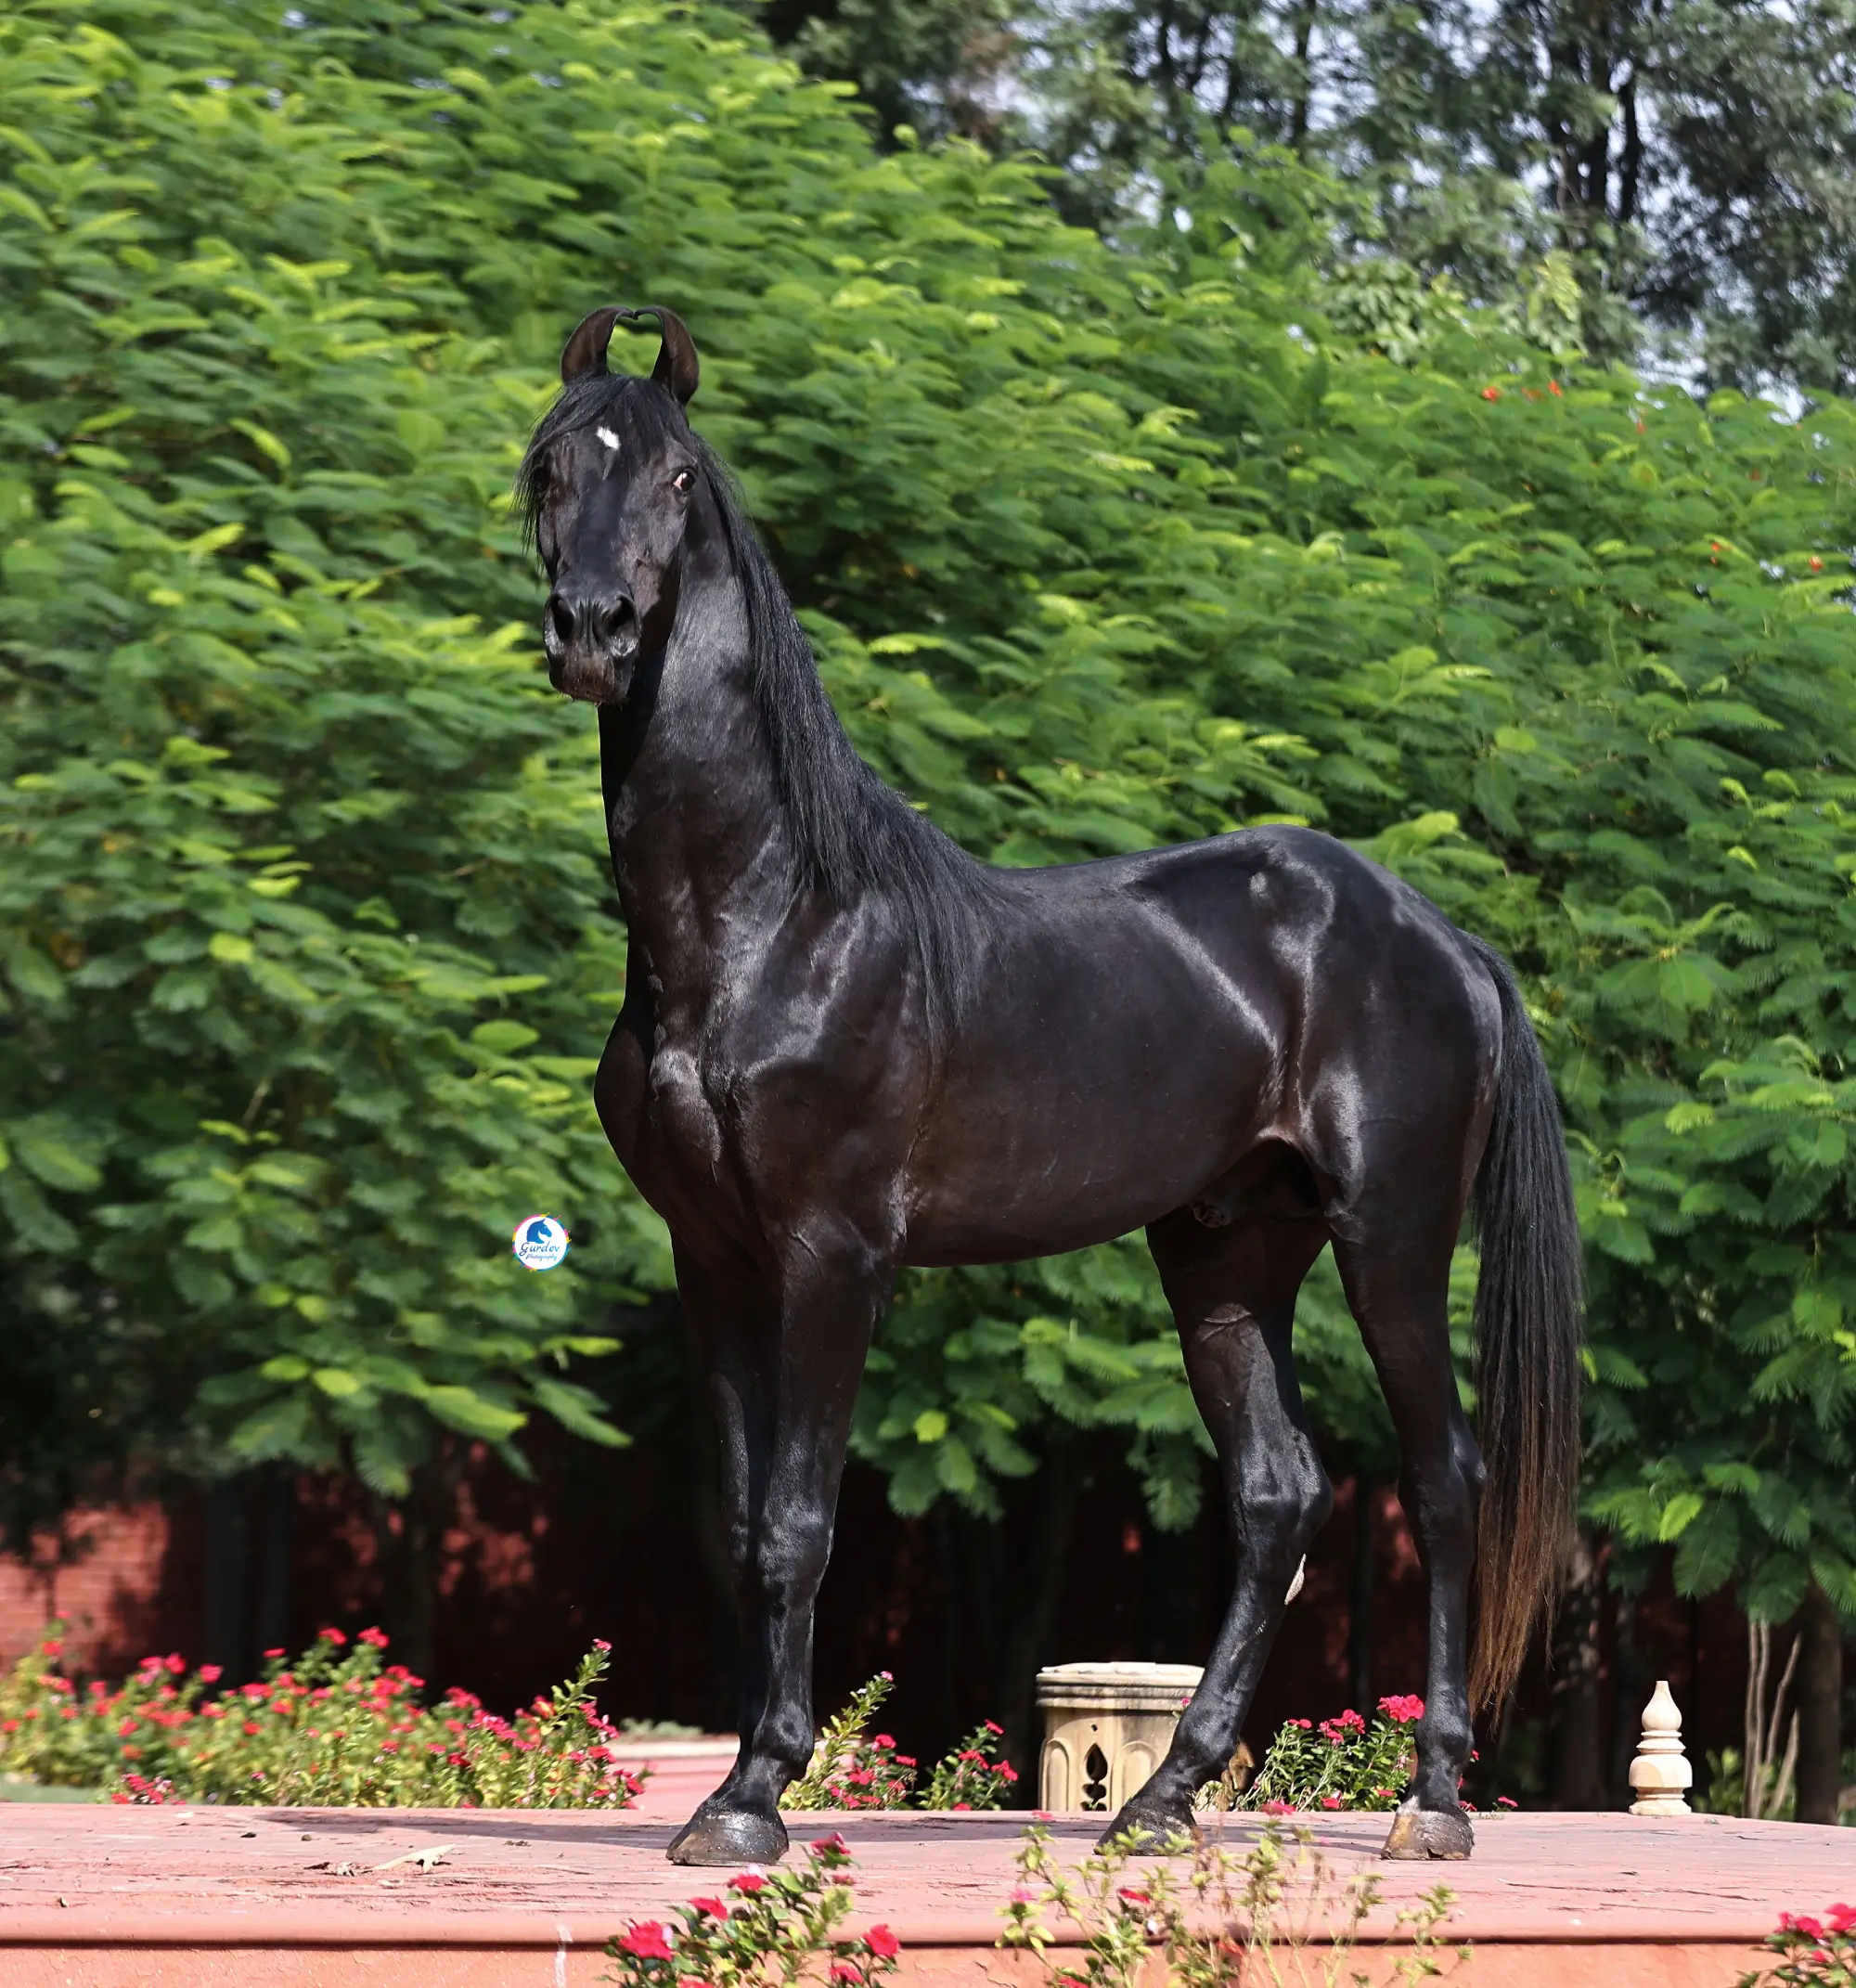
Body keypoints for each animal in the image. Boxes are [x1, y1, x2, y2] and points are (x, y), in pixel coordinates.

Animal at [517, 305, 1583, 1867]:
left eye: (673, 477)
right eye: (545, 469)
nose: (593, 630)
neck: (766, 920)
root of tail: (1443, 939)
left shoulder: (833, 1254)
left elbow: (798, 1521)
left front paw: (754, 1793)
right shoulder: (710, 1256)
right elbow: (743, 1518)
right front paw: (736, 1785)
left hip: (1390, 1239)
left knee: (1445, 1481)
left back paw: (1432, 1803)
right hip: (1226, 1252)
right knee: (1279, 1499)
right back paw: (1161, 1798)